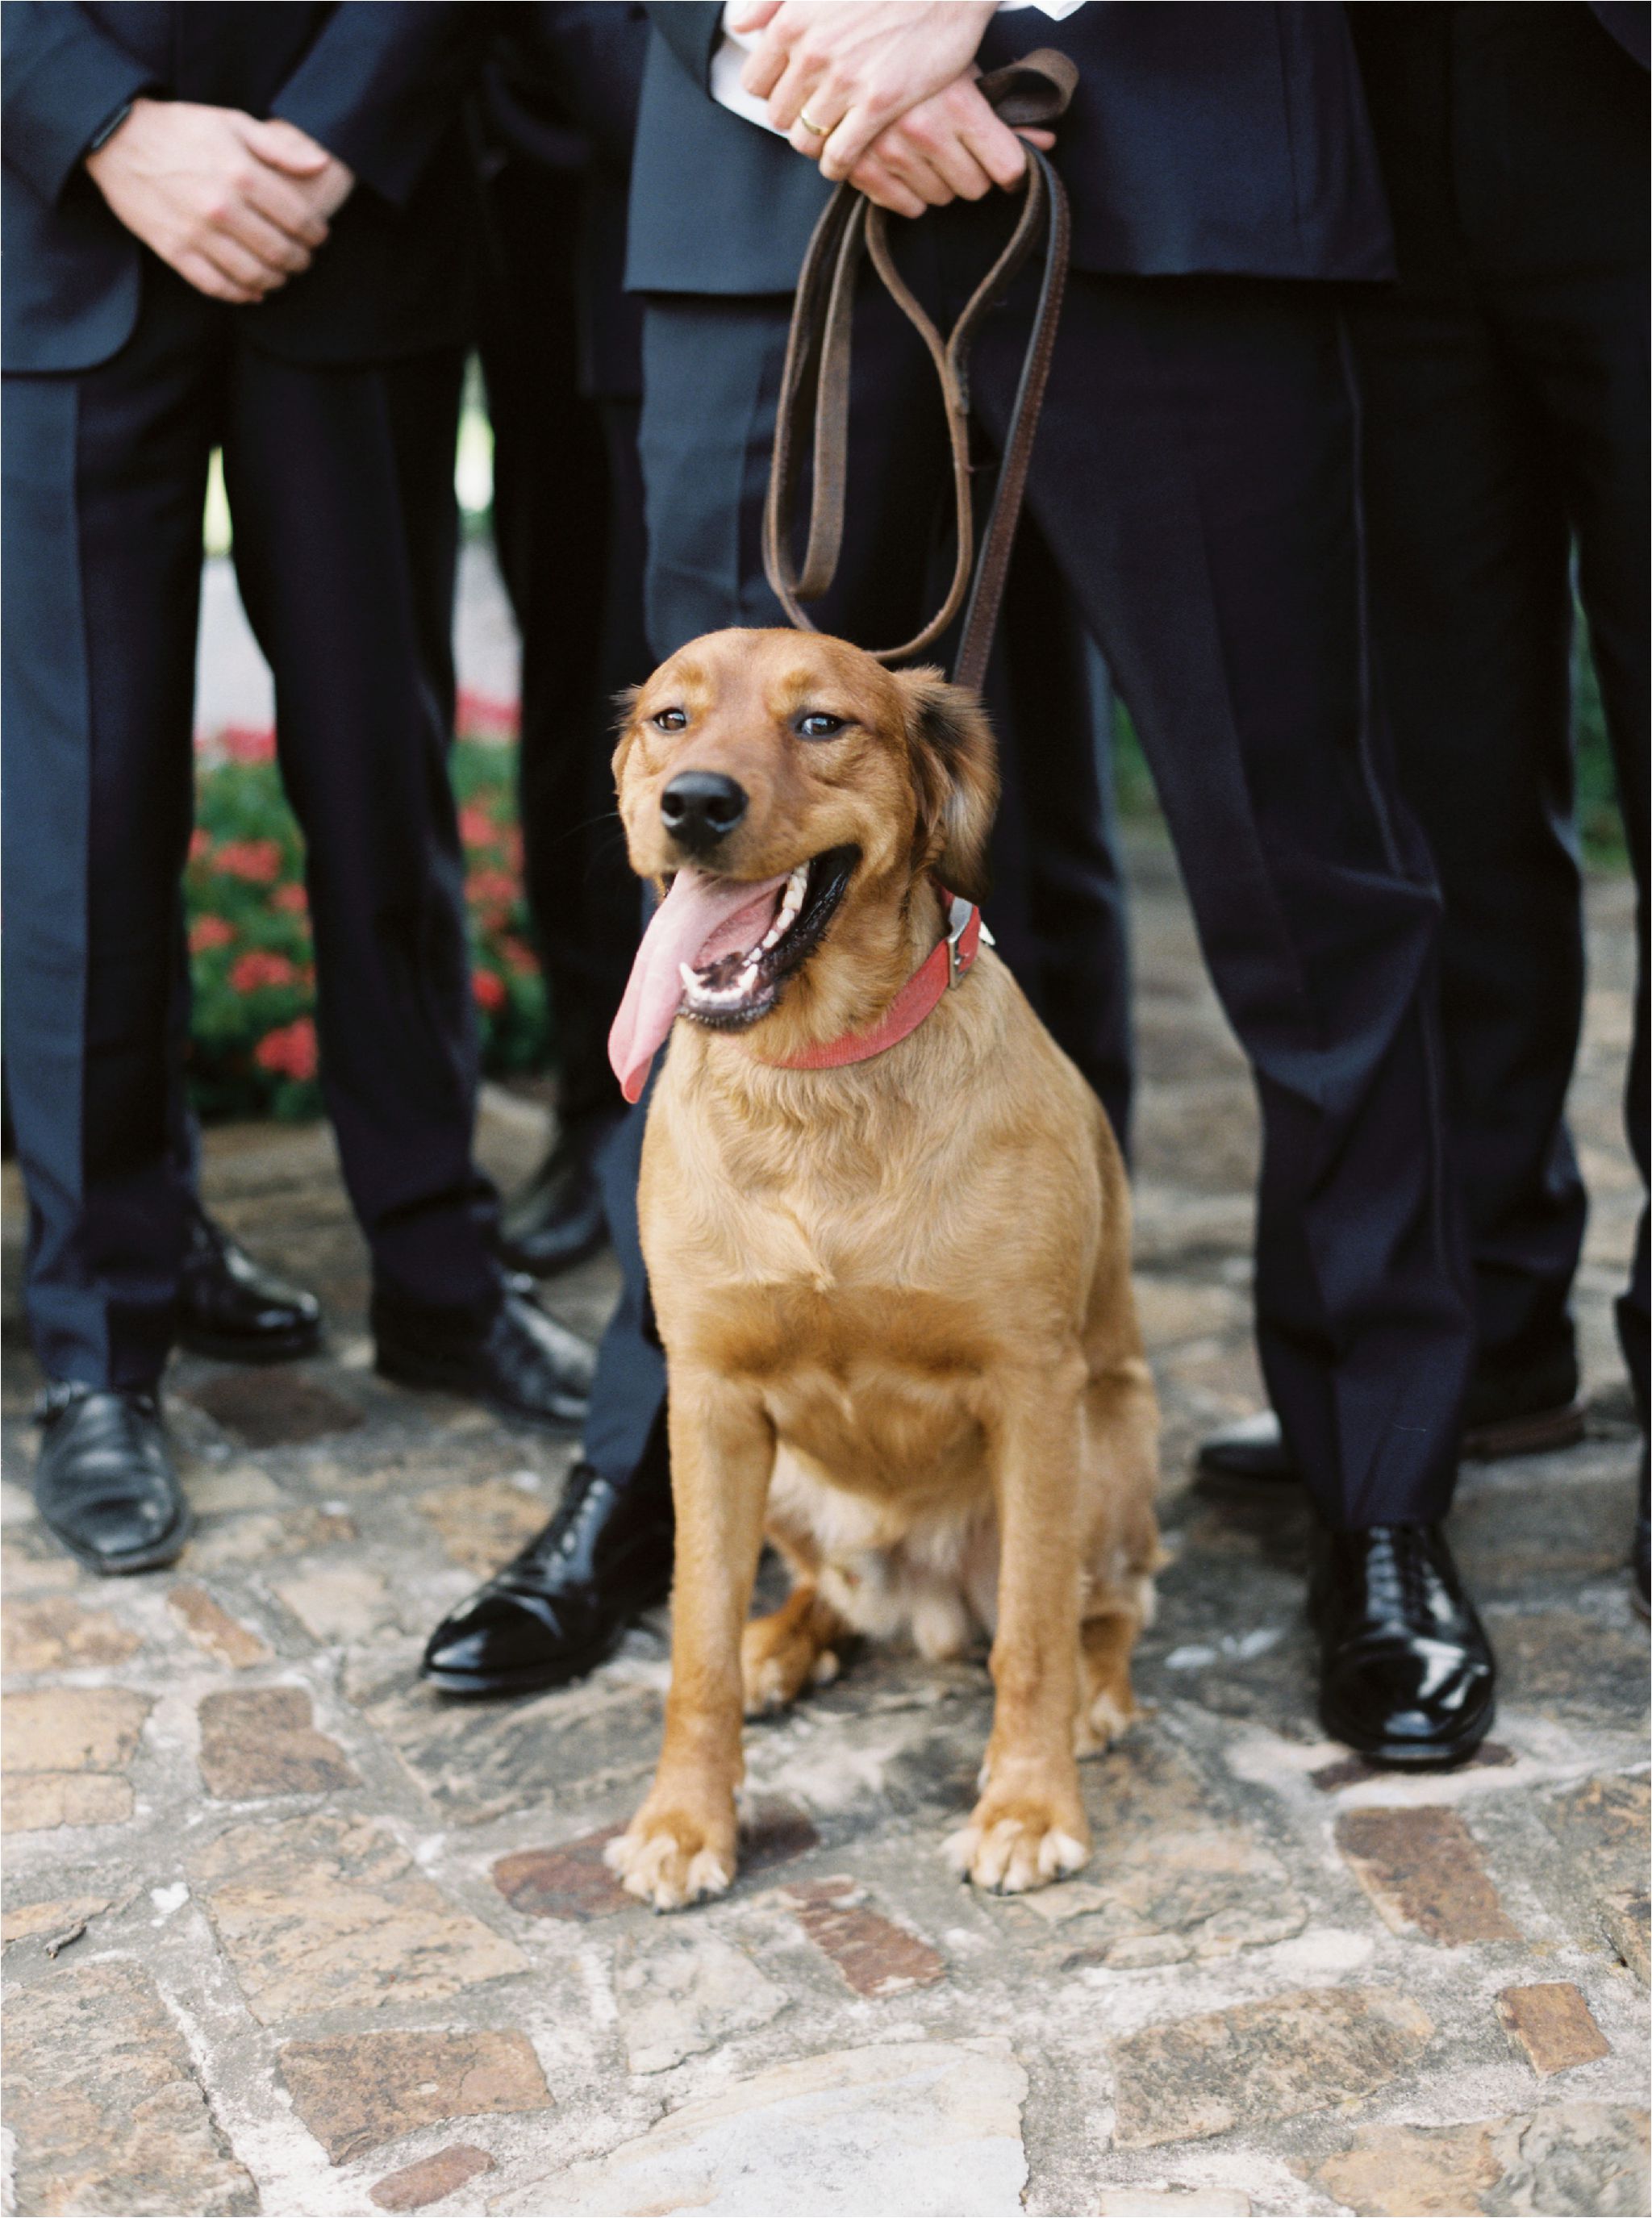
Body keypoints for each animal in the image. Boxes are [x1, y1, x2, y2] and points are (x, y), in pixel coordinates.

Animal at [599, 625, 1153, 1907]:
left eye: (821, 724)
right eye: (668, 720)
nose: (692, 802)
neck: (817, 1077)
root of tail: (925, 1592)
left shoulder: (1035, 1390)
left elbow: (1032, 1639)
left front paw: (1027, 1804)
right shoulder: (707, 1398)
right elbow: (693, 1641)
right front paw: (685, 1820)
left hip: (1109, 1444)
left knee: (1098, 1608)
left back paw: (1094, 1695)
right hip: (783, 1482)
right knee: (823, 1594)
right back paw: (782, 1644)